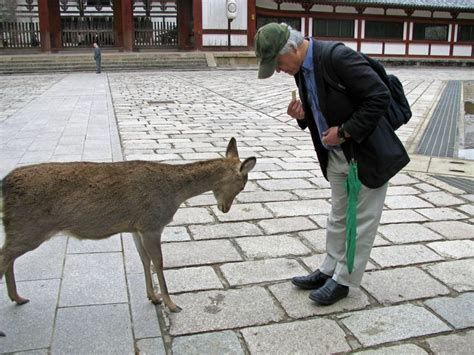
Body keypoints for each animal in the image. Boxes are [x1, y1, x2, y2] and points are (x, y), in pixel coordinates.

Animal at [0, 138, 258, 326]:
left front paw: (153, 297)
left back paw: (18, 298)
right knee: (4, 256)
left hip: (21, 229)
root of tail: (5, 184)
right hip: (29, 227)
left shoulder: (136, 227)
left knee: (8, 257)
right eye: (243, 184)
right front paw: (172, 304)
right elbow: (159, 262)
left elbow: (144, 259)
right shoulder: (152, 223)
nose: (225, 209)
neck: (175, 193)